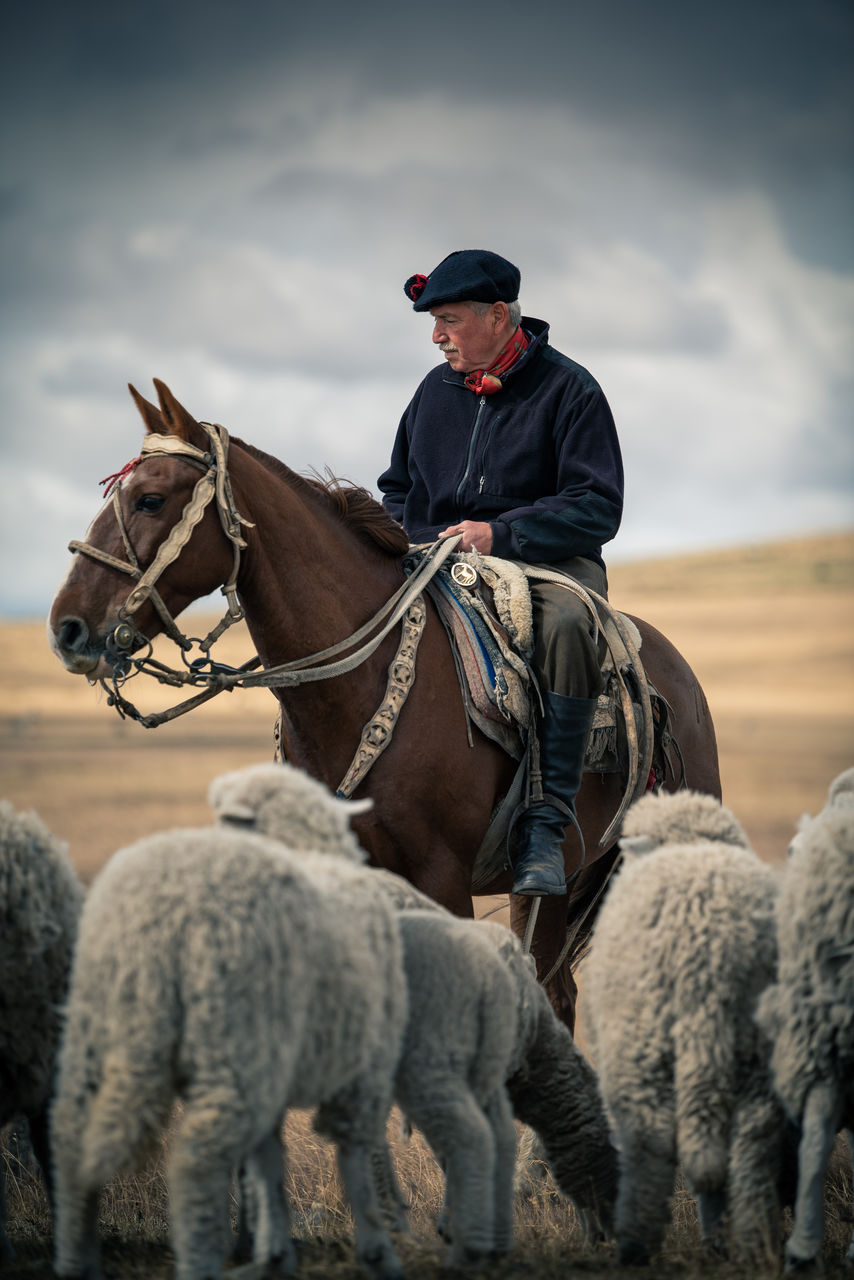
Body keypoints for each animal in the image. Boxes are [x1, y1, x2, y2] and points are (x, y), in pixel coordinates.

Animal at [51, 824, 409, 1274]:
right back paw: (200, 1263)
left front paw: (274, 1251)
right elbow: (357, 1156)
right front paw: (378, 1249)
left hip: (97, 1035)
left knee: (70, 1138)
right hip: (233, 1042)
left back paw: (75, 1260)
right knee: (196, 1163)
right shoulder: (364, 1071)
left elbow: (268, 1161)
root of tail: (156, 922)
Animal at [583, 783, 783, 1264]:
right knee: (751, 1140)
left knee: (650, 1138)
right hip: (756, 1048)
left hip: (640, 1039)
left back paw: (635, 1243)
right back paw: (753, 1242)